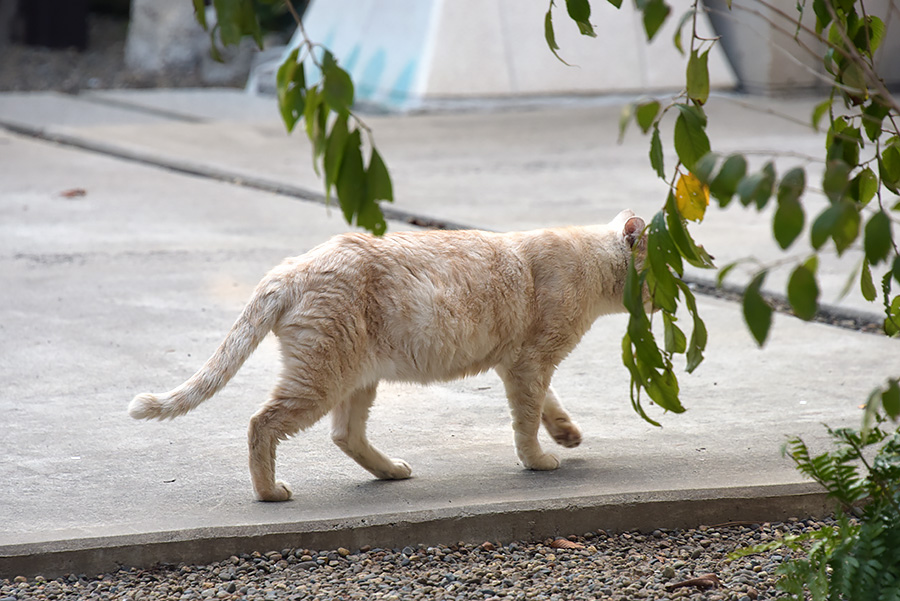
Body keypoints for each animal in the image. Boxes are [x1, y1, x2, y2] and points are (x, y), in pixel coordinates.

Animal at [128, 209, 648, 500]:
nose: (669, 293)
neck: (590, 261)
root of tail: (291, 268)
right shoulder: (529, 364)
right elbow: (526, 420)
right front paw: (538, 459)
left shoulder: (517, 365)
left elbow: (548, 404)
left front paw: (566, 433)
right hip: (320, 379)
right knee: (262, 424)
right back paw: (269, 493)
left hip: (355, 378)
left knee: (345, 434)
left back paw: (390, 471)